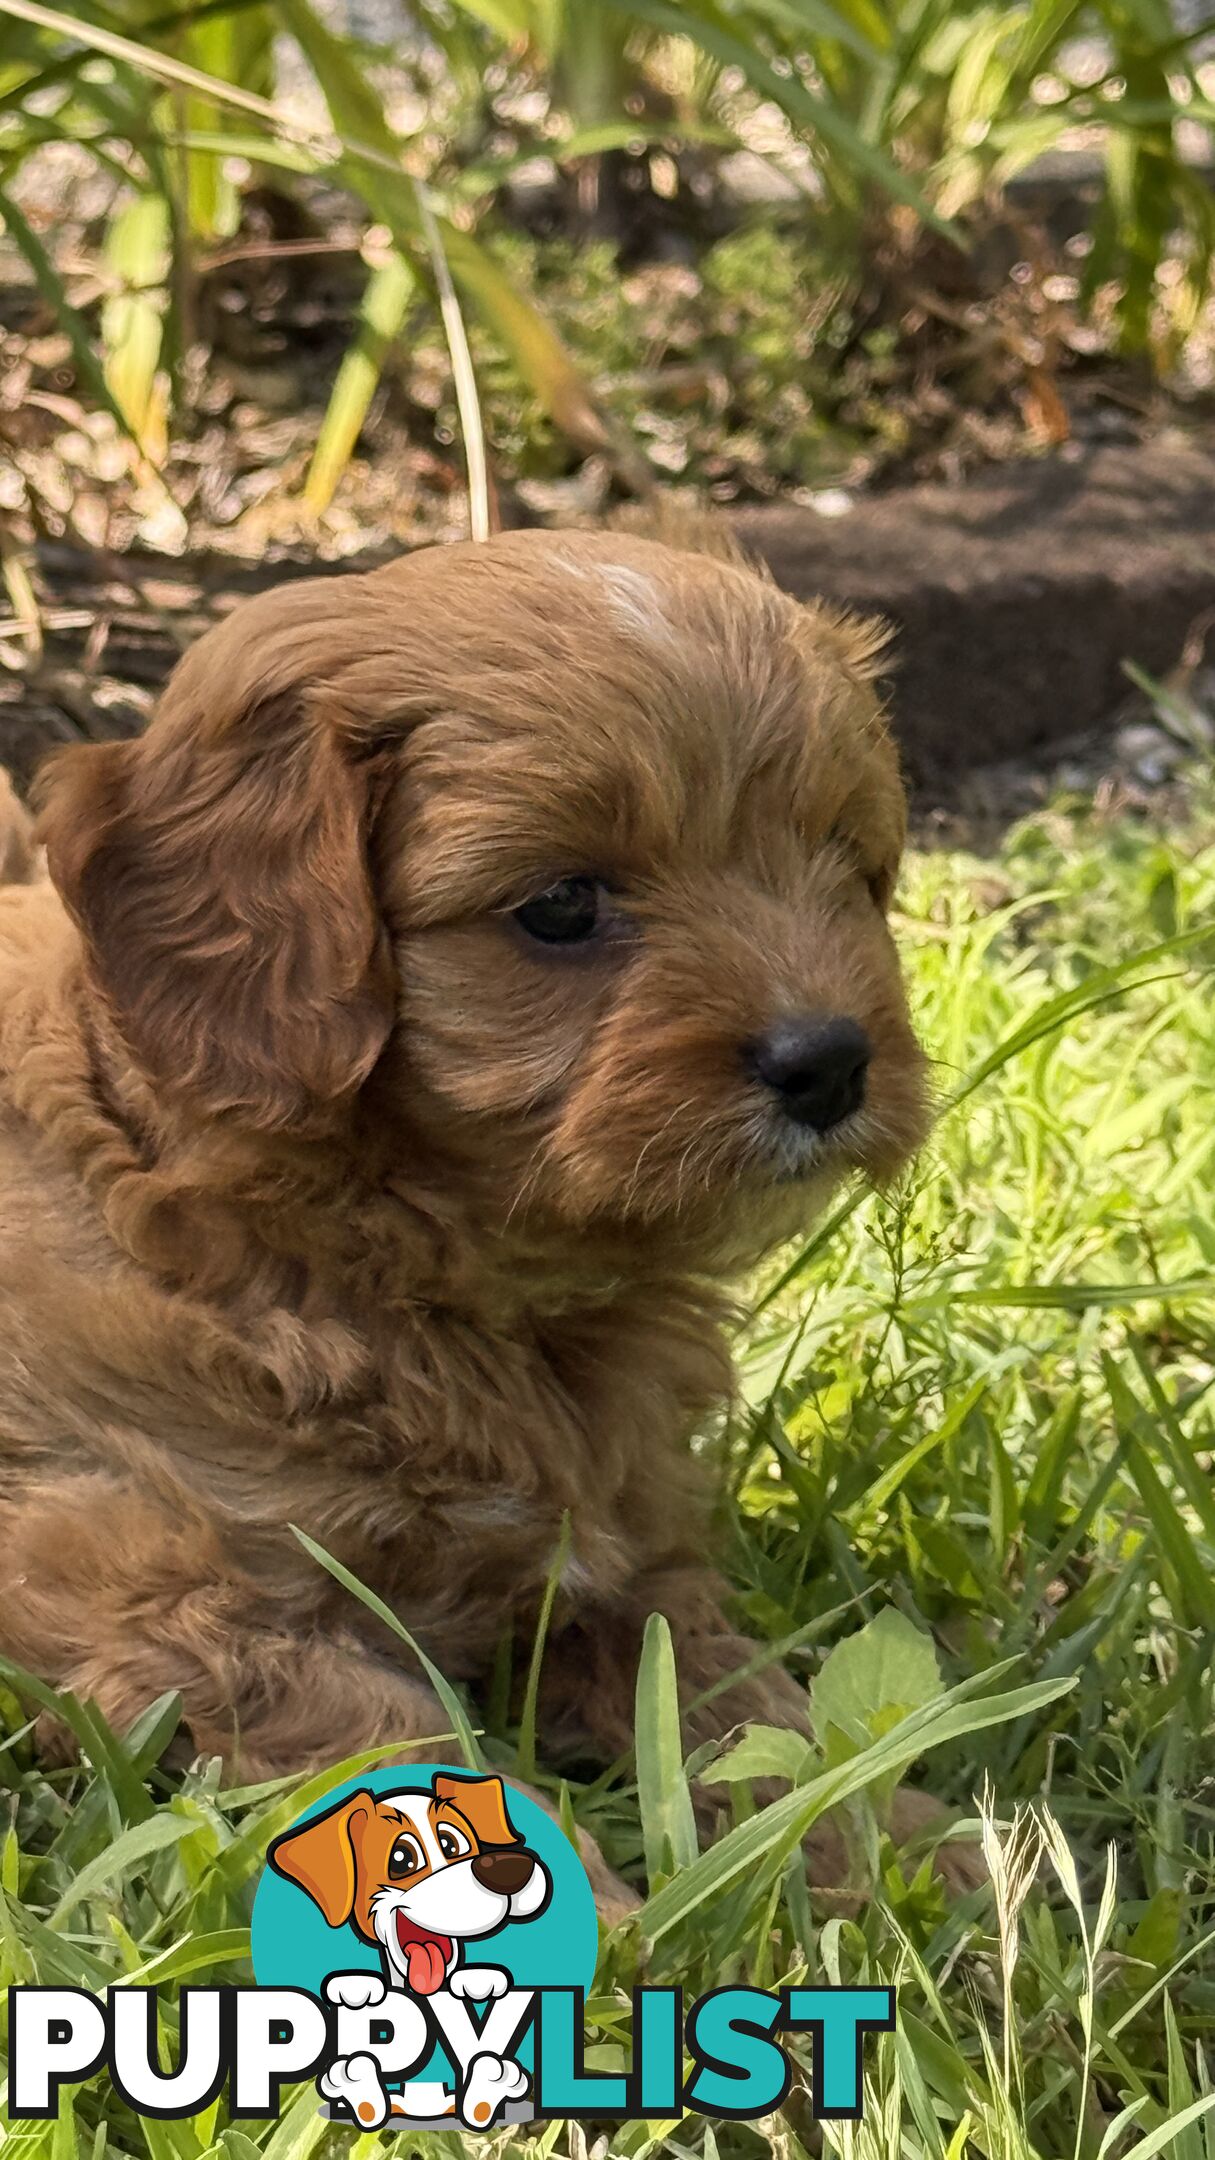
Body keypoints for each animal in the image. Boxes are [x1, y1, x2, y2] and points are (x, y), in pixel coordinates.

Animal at [0, 527, 929, 1892]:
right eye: (561, 907)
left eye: (842, 867)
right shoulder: (164, 1602)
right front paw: (612, 1932)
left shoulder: (631, 1568)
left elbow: (751, 1711)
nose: (830, 1062)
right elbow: (407, 1747)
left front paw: (914, 1866)